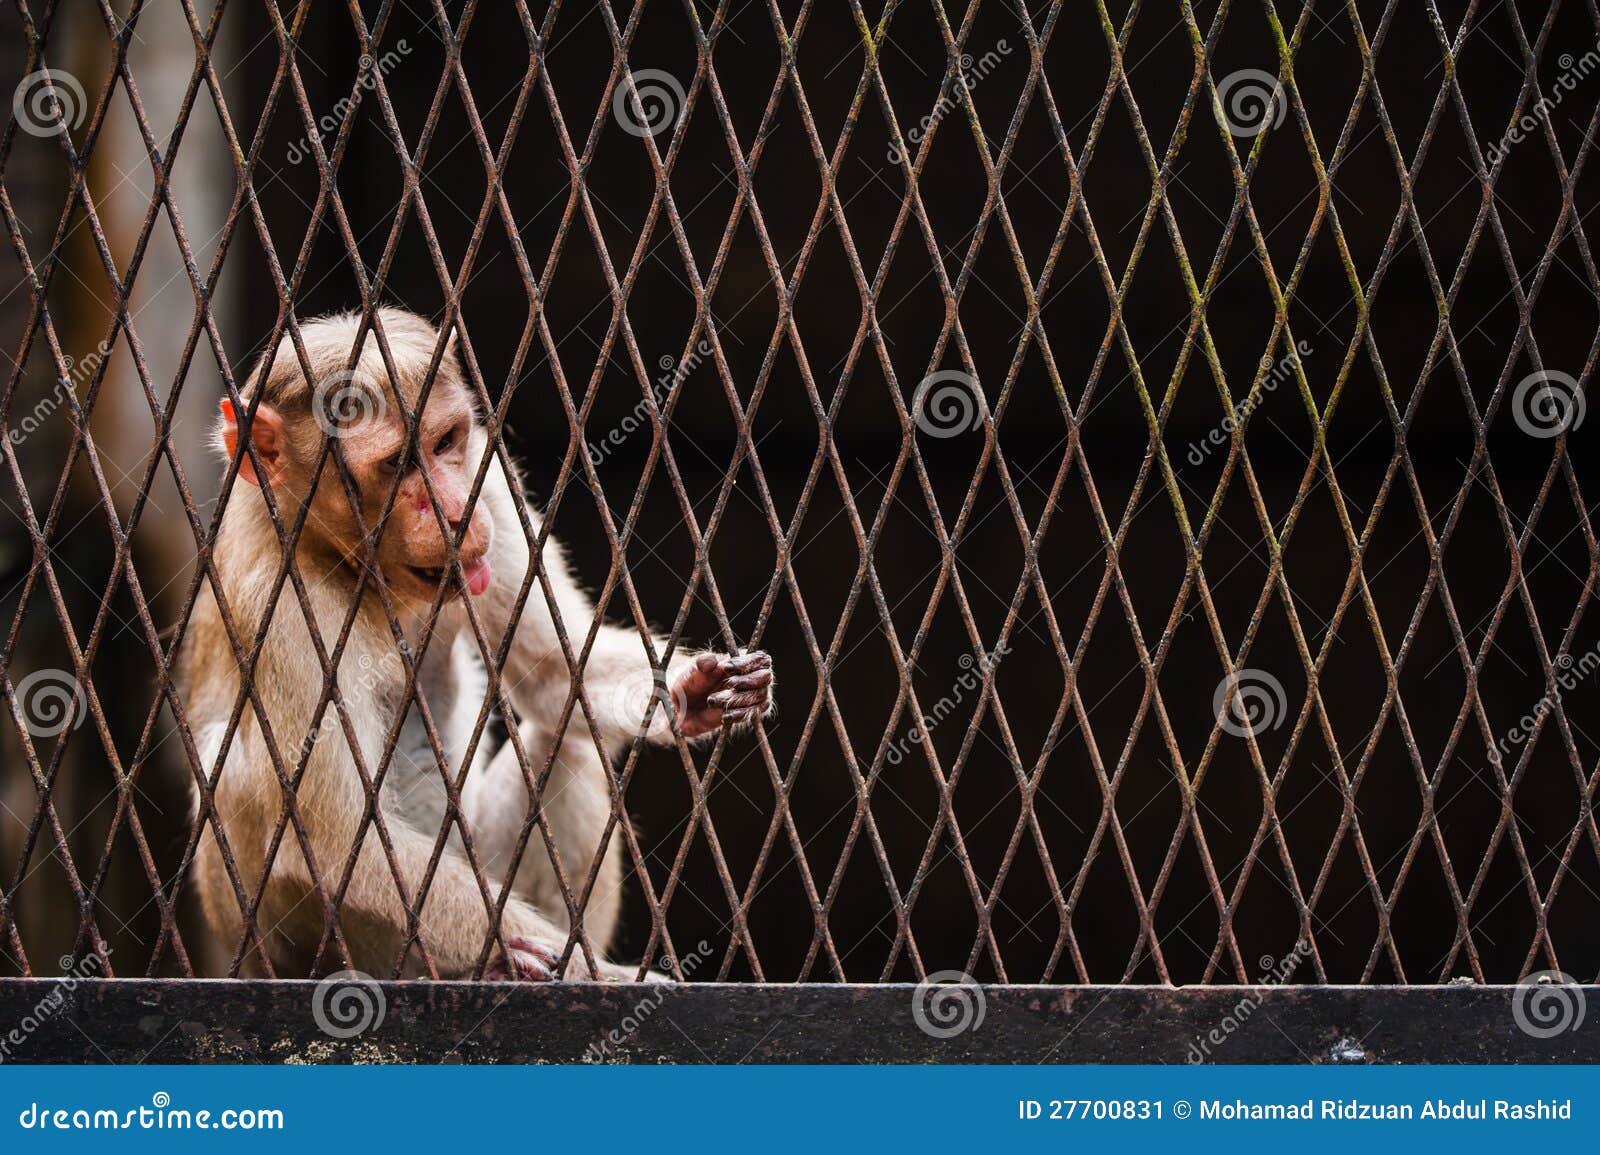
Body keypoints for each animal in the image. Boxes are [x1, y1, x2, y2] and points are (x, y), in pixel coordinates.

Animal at [175, 305, 774, 979]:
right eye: (395, 464)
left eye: (445, 444)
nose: (456, 511)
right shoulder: (277, 609)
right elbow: (341, 840)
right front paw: (579, 970)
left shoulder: (488, 480)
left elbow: (554, 676)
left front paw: (695, 691)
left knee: (562, 740)